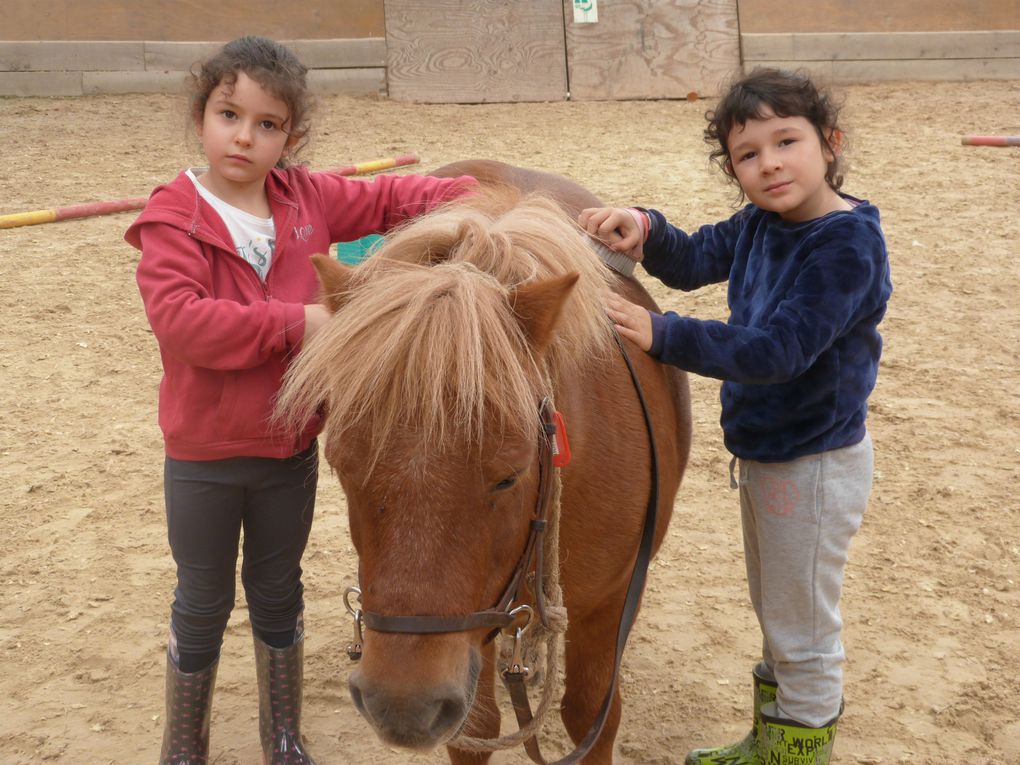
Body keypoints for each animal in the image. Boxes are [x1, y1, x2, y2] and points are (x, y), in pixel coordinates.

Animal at [277, 159, 693, 762]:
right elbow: (477, 727)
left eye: (509, 476)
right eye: (341, 467)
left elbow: (591, 714)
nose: (402, 704)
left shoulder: (610, 605)